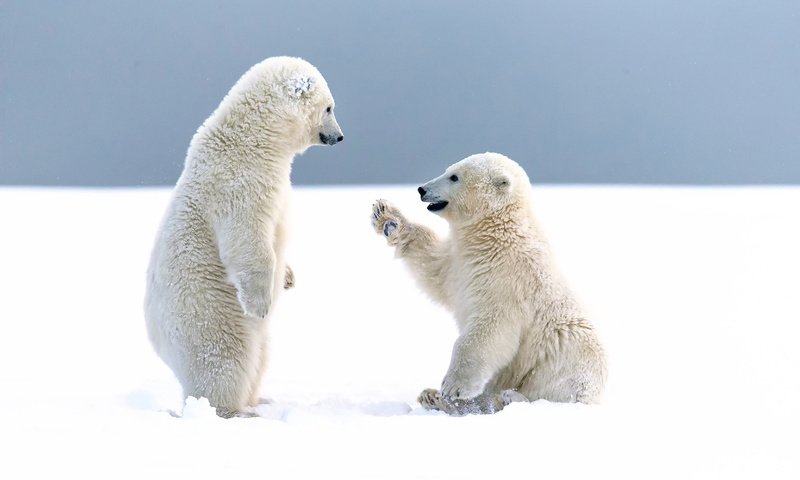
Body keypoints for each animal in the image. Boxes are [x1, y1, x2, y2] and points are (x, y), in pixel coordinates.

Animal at [145, 55, 342, 416]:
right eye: (328, 108)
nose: (339, 136)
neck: (251, 139)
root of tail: (161, 346)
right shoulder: (239, 183)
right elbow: (248, 240)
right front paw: (261, 304)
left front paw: (288, 277)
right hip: (206, 318)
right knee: (226, 362)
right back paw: (235, 410)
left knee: (261, 358)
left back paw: (260, 399)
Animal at [374, 153, 608, 412]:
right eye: (448, 170)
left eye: (454, 177)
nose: (422, 189)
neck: (497, 233)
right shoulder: (461, 262)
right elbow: (434, 268)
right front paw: (387, 217)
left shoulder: (507, 277)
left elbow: (490, 329)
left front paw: (453, 387)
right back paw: (432, 396)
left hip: (563, 361)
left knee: (552, 389)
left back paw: (508, 397)